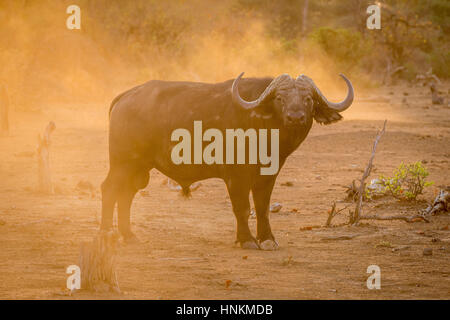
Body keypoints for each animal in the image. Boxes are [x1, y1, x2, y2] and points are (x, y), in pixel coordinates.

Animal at [102, 72, 356, 250]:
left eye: (308, 99)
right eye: (280, 98)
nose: (295, 117)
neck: (263, 129)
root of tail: (125, 96)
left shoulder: (269, 175)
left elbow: (262, 207)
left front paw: (267, 239)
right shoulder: (236, 176)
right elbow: (242, 208)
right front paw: (246, 240)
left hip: (138, 168)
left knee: (127, 194)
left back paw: (129, 236)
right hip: (122, 163)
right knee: (109, 189)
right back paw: (106, 233)